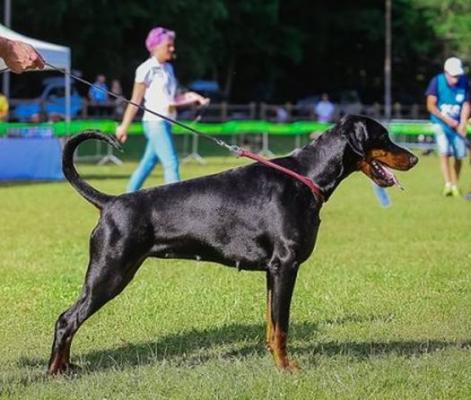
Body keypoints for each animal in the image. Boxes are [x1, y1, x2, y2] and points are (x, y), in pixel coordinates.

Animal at [47, 114, 416, 374]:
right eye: (383, 136)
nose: (414, 158)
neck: (307, 177)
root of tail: (110, 203)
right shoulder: (286, 265)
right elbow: (282, 326)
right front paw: (287, 368)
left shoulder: (272, 271)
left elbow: (271, 323)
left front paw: (274, 360)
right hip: (109, 273)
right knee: (67, 319)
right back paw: (55, 371)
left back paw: (66, 367)